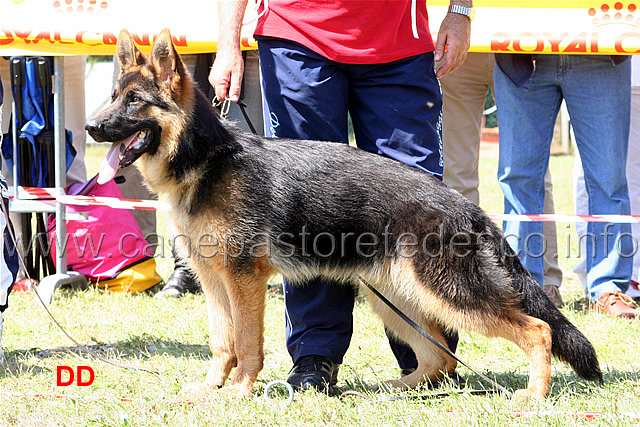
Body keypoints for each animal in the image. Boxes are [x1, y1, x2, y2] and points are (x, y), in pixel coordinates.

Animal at [85, 29, 600, 402]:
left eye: (135, 101)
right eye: (114, 96)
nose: (92, 126)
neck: (207, 160)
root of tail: (465, 205)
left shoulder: (244, 281)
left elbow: (247, 345)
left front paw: (240, 391)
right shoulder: (214, 282)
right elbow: (221, 342)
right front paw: (212, 387)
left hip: (444, 293)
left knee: (535, 330)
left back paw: (533, 395)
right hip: (395, 296)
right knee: (440, 357)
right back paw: (396, 389)